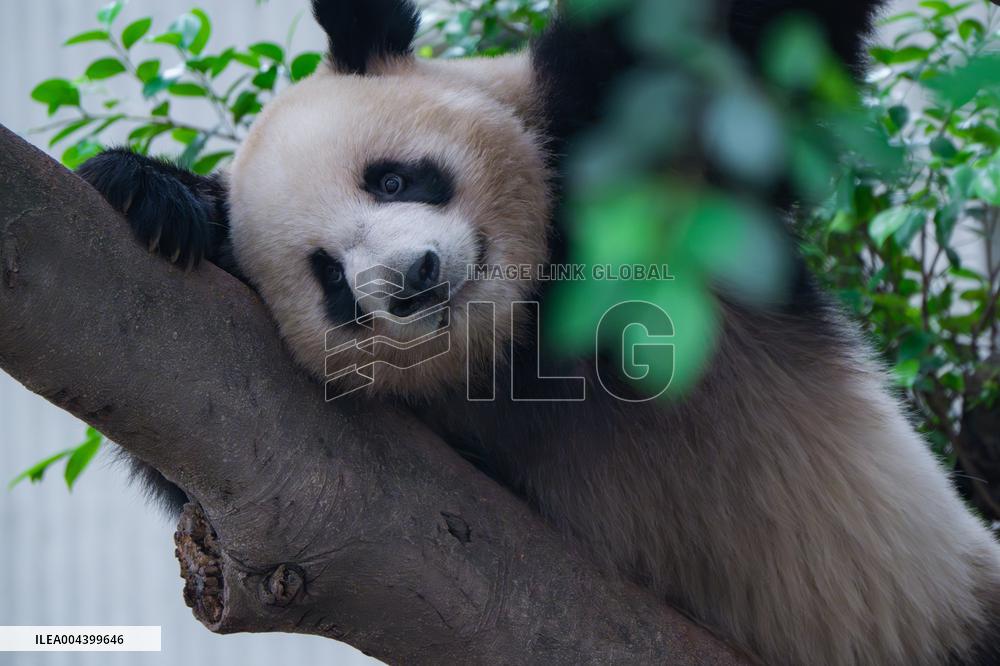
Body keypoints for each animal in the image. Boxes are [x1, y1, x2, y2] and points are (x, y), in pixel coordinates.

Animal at [77, 0, 1000, 664]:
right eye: (331, 278)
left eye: (393, 178)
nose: (412, 281)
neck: (524, 327)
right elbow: (199, 462)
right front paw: (152, 194)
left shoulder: (630, 143)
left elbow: (733, 45)